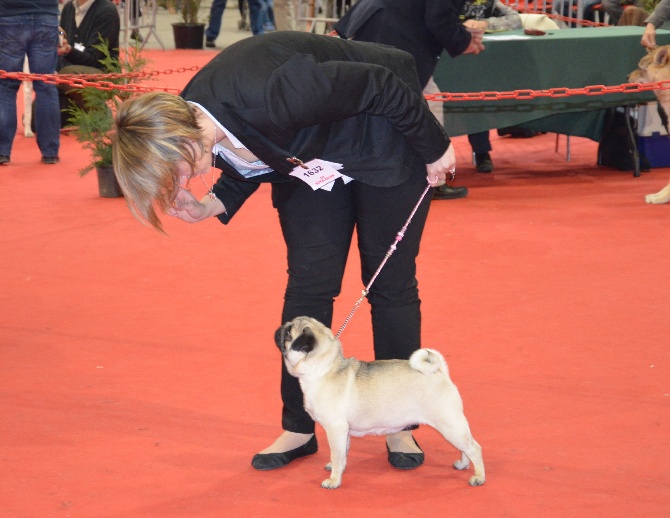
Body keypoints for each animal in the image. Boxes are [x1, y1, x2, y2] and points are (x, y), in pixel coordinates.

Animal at [276, 316, 486, 492]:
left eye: (288, 334)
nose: (281, 327)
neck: (324, 367)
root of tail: (440, 371)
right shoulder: (344, 431)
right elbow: (342, 453)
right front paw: (339, 469)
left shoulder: (335, 428)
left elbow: (336, 454)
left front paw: (334, 480)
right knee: (465, 447)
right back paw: (463, 464)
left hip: (449, 424)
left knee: (474, 447)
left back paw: (478, 477)